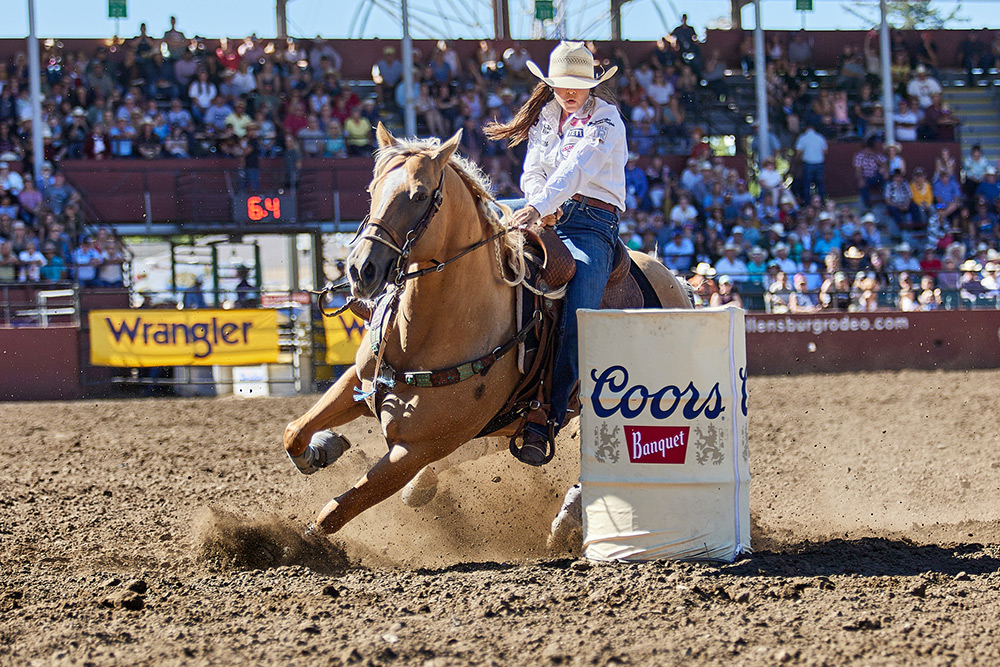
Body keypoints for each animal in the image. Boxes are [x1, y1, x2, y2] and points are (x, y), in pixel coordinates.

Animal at [278, 122, 692, 536]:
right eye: (372, 190)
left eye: (419, 195)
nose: (360, 270)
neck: (430, 332)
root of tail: (674, 281)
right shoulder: (360, 382)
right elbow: (294, 433)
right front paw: (322, 448)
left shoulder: (416, 449)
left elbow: (335, 512)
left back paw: (568, 517)